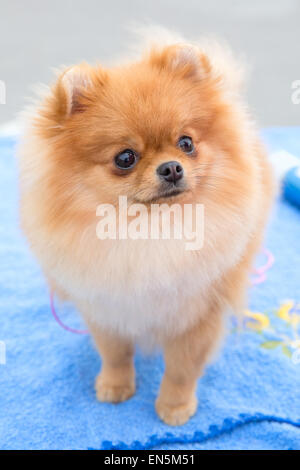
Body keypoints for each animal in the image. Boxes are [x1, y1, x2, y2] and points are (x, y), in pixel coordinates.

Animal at [17, 30, 274, 426]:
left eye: (186, 143)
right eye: (126, 158)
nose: (171, 167)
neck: (150, 231)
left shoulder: (197, 316)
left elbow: (182, 369)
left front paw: (174, 407)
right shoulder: (108, 308)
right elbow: (115, 353)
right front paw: (115, 386)